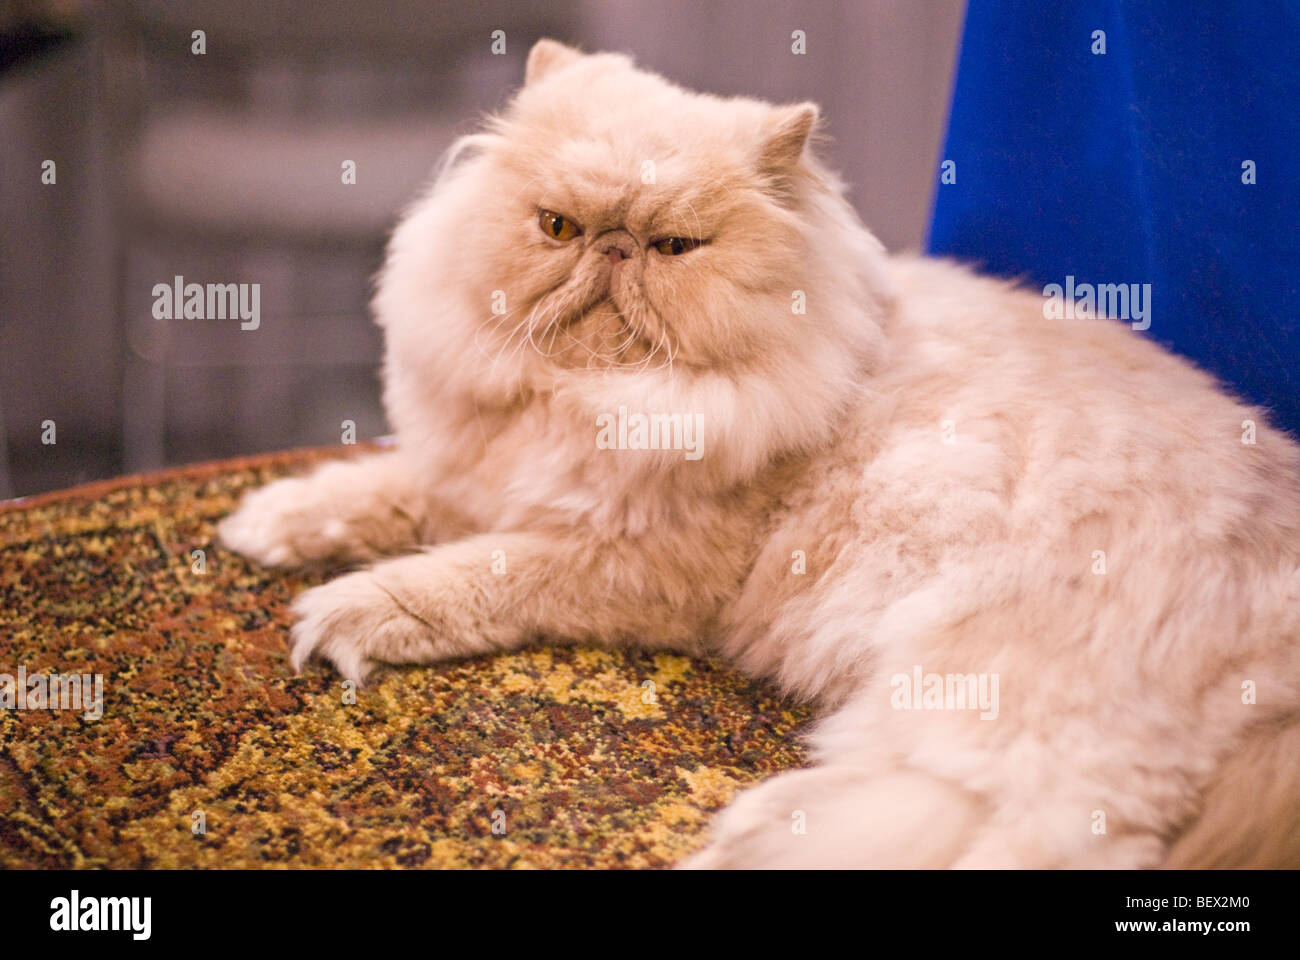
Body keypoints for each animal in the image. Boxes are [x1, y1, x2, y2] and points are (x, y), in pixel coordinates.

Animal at [220, 39, 1300, 868]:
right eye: (558, 228)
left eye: (674, 248)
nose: (612, 248)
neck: (586, 403)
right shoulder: (473, 476)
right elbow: (387, 488)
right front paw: (270, 523)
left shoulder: (631, 564)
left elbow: (463, 575)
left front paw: (345, 611)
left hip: (986, 678)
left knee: (1032, 826)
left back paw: (751, 835)